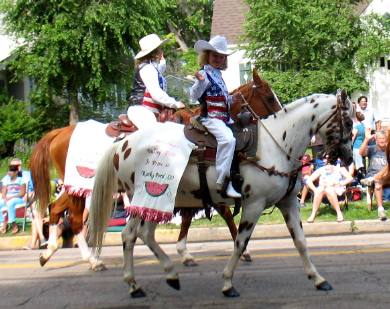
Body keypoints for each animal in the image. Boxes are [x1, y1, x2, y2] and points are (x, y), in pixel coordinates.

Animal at [29, 70, 280, 270]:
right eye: (269, 97)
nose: (280, 113)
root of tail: (60, 132)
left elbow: (194, 216)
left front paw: (186, 253)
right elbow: (219, 214)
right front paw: (243, 251)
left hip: (74, 187)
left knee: (57, 210)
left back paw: (50, 252)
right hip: (80, 186)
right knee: (73, 218)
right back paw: (92, 260)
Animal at [89, 88, 356, 296]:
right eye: (349, 122)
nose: (347, 157)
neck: (277, 146)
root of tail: (123, 144)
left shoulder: (288, 202)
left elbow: (300, 241)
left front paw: (318, 279)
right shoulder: (254, 204)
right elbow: (239, 241)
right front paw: (228, 283)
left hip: (156, 201)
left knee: (139, 234)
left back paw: (159, 278)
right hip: (147, 198)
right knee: (133, 235)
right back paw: (143, 281)